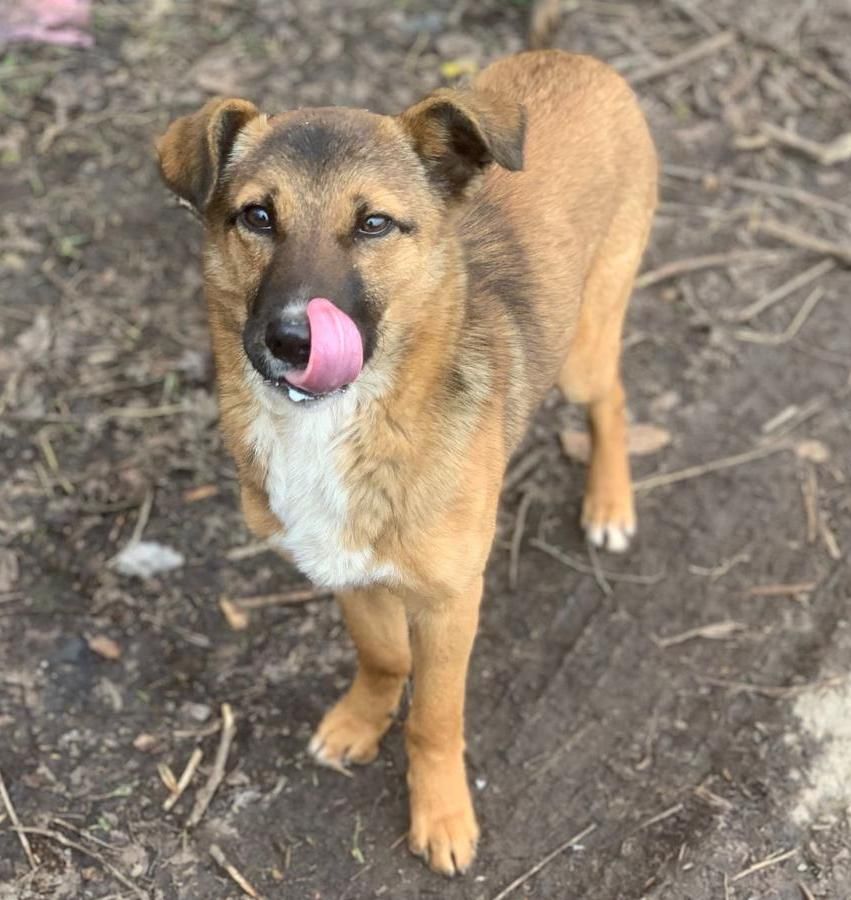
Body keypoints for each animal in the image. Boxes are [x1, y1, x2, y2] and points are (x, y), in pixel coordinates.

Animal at [156, 21, 657, 876]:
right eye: (256, 217)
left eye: (374, 225)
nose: (291, 340)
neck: (341, 424)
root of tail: (578, 61)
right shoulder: (344, 569)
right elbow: (383, 658)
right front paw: (362, 722)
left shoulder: (451, 603)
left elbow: (434, 716)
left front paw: (441, 813)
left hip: (586, 346)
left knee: (612, 401)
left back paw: (609, 503)